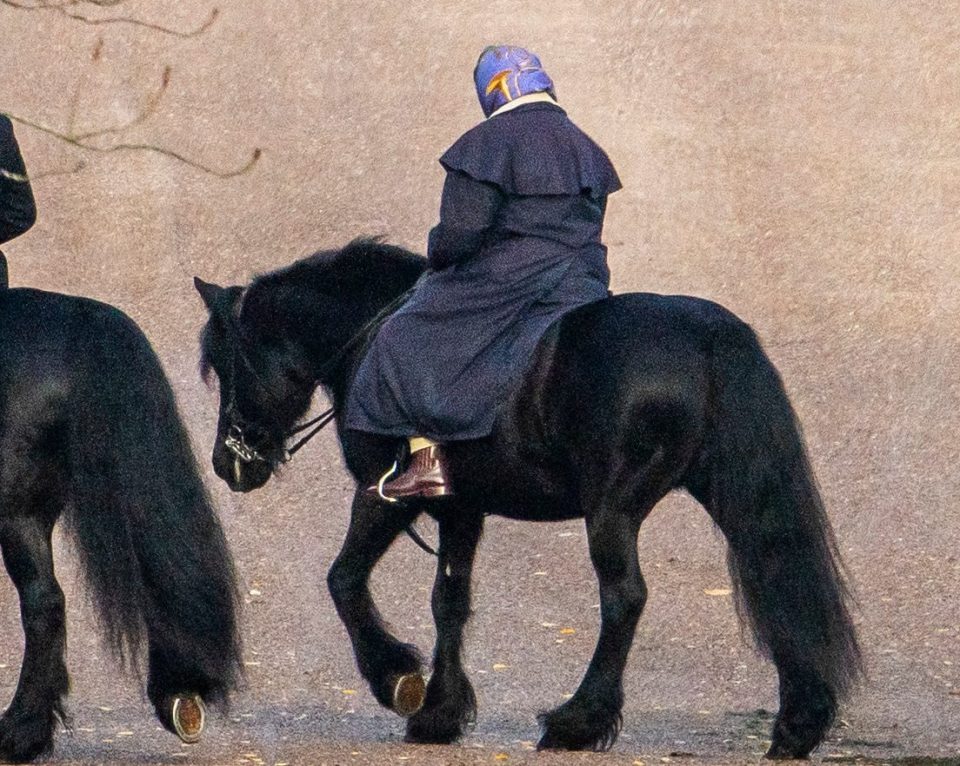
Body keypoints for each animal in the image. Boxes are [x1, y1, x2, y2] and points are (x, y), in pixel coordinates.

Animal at [195, 240, 864, 760]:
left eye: (229, 364)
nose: (229, 465)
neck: (368, 333)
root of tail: (709, 338)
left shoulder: (385, 495)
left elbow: (344, 580)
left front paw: (398, 681)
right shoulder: (461, 509)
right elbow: (449, 601)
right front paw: (439, 713)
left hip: (612, 508)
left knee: (624, 598)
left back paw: (576, 722)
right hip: (729, 495)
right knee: (775, 573)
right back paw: (797, 726)